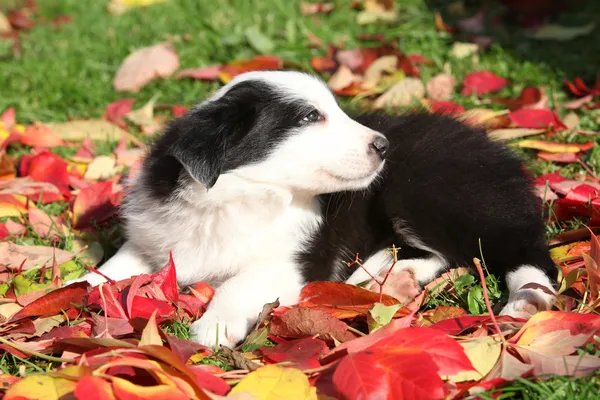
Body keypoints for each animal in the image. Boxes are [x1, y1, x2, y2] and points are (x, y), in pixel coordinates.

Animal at [70, 69, 556, 346]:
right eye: (309, 117)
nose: (383, 146)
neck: (239, 196)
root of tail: (497, 150)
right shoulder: (154, 239)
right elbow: (110, 269)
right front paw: (72, 289)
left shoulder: (299, 257)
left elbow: (241, 282)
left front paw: (215, 326)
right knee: (440, 254)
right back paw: (387, 276)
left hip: (429, 190)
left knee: (522, 249)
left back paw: (527, 301)